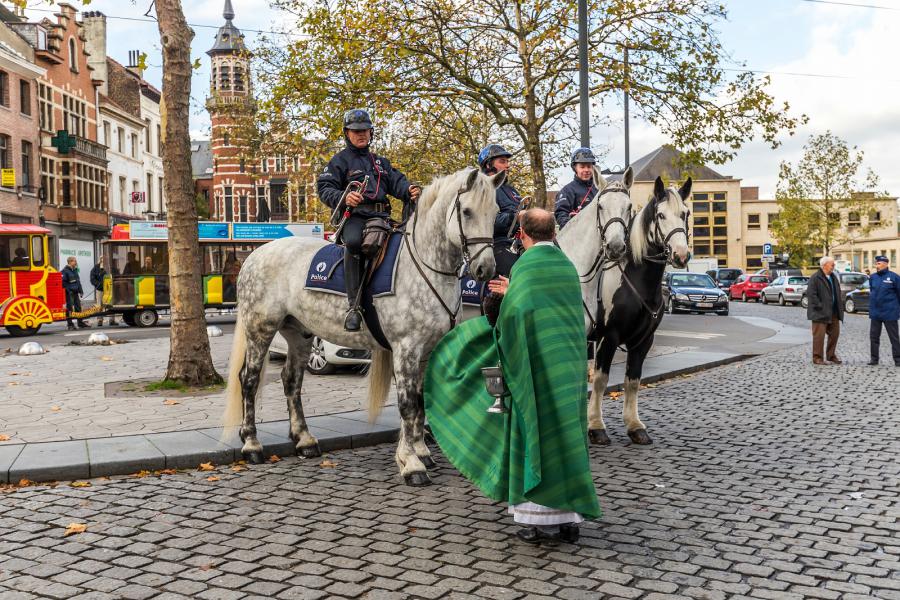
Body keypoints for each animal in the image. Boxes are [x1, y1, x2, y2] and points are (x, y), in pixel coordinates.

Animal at [221, 166, 502, 486]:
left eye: (495, 212)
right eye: (466, 211)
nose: (486, 269)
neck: (425, 267)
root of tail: (255, 255)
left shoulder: (427, 349)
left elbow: (420, 399)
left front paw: (421, 451)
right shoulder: (406, 348)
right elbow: (407, 403)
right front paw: (411, 463)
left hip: (299, 333)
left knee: (292, 380)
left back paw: (304, 440)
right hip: (260, 328)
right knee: (249, 379)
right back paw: (251, 444)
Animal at [588, 175, 692, 446]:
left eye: (685, 213)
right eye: (661, 215)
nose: (681, 255)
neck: (636, 279)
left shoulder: (644, 340)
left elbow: (633, 381)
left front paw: (634, 426)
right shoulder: (608, 337)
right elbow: (601, 380)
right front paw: (596, 426)